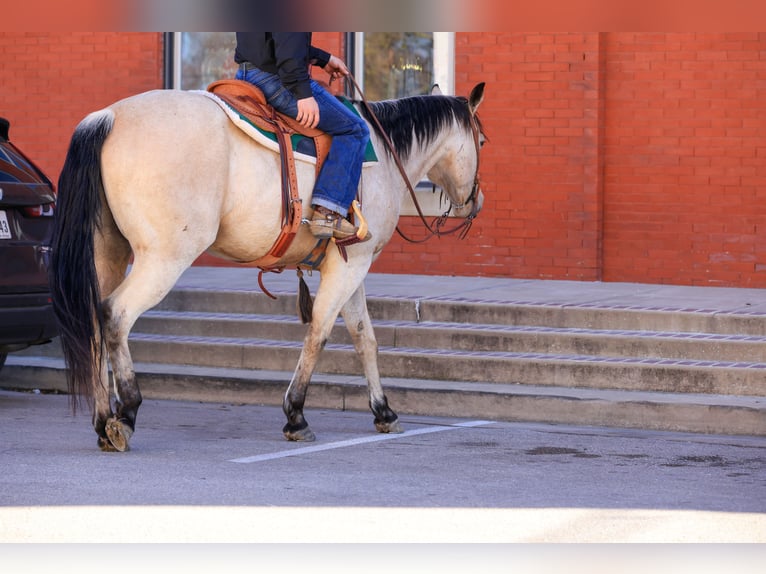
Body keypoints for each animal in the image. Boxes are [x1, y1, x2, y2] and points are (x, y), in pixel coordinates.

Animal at [51, 81, 488, 452]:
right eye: (481, 140)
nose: (475, 203)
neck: (382, 153)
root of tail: (107, 118)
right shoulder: (350, 268)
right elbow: (319, 334)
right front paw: (295, 414)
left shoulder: (351, 264)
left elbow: (365, 338)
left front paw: (383, 411)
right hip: (165, 257)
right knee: (115, 315)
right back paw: (126, 412)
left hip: (108, 253)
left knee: (94, 324)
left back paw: (103, 419)